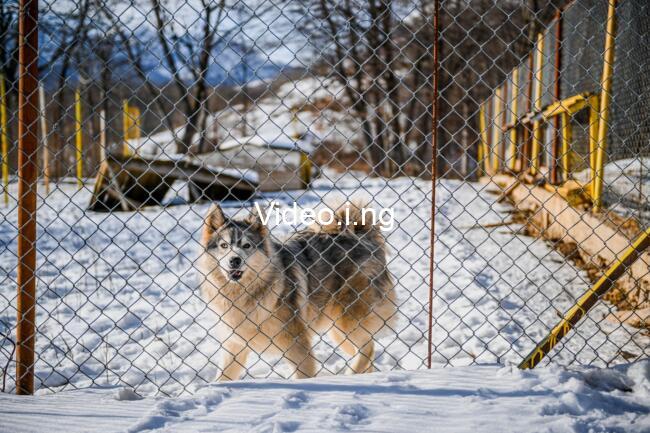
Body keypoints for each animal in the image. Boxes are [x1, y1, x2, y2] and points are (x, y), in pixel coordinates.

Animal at [199, 201, 396, 381]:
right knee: (366, 353)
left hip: (348, 322)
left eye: (247, 245)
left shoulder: (297, 346)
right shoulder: (234, 348)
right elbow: (222, 378)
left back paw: (350, 376)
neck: (244, 295)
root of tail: (361, 235)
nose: (235, 260)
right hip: (338, 330)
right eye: (224, 246)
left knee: (368, 349)